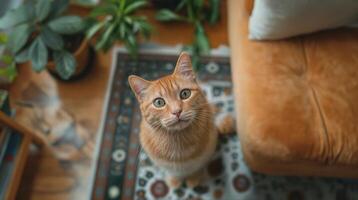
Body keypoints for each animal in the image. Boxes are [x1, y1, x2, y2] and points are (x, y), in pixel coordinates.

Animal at [129, 52, 218, 188]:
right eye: (159, 102)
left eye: (185, 94)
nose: (177, 111)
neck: (178, 140)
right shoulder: (163, 163)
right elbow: (171, 171)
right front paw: (174, 180)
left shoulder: (203, 156)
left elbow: (196, 167)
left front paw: (193, 178)